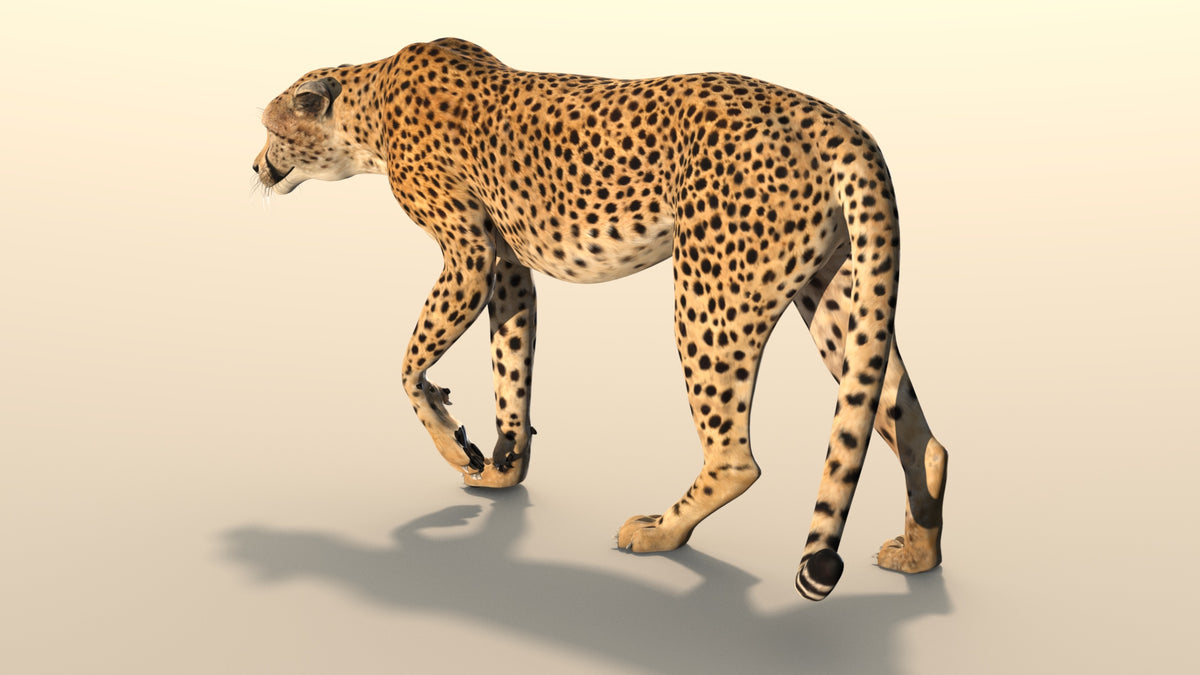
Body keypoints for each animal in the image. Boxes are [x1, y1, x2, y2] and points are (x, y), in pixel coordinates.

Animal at [252, 38, 949, 600]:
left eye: (270, 130)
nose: (255, 167)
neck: (370, 101)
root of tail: (833, 120)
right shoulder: (509, 267)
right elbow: (511, 371)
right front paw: (502, 467)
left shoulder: (470, 256)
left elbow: (407, 367)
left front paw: (455, 447)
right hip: (834, 293)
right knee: (912, 429)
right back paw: (919, 553)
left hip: (711, 297)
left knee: (736, 457)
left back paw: (662, 531)